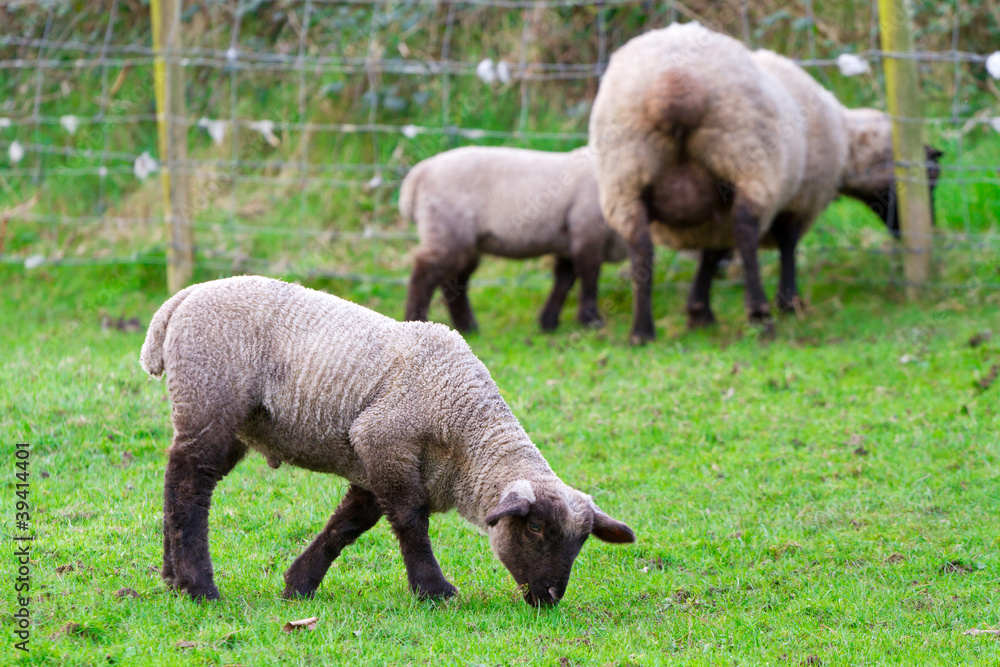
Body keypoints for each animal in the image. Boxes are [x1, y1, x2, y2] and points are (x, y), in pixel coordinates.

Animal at [139, 274, 632, 608]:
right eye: (535, 528)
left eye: (581, 542)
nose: (549, 596)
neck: (467, 426)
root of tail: (182, 299)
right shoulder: (384, 441)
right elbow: (410, 523)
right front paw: (434, 591)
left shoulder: (379, 463)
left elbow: (348, 524)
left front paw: (300, 583)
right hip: (210, 402)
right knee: (189, 486)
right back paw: (199, 587)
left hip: (226, 418)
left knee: (176, 481)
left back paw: (171, 577)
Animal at [398, 147, 624, 334]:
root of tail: (417, 174)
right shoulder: (588, 229)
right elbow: (589, 277)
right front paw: (591, 321)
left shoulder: (569, 242)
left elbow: (564, 279)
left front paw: (548, 322)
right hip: (448, 229)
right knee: (424, 271)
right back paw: (416, 321)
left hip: (465, 241)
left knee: (454, 281)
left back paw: (468, 328)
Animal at [588, 22, 940, 342]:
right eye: (930, 180)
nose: (928, 228)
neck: (847, 145)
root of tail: (674, 83)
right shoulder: (799, 198)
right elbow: (786, 244)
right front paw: (787, 301)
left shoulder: (714, 208)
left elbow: (712, 252)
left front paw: (699, 311)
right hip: (747, 163)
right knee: (744, 230)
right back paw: (759, 315)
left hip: (625, 176)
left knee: (641, 248)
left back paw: (642, 331)